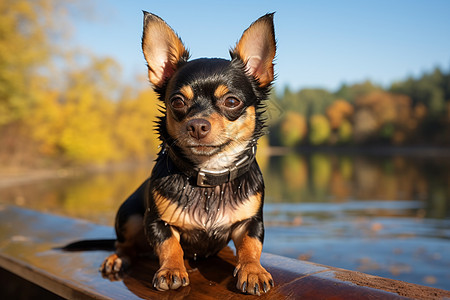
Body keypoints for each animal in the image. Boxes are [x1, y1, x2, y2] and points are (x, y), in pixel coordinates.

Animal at [100, 11, 276, 296]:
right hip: (129, 217)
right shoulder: (157, 223)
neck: (210, 174)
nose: (197, 125)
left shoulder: (250, 223)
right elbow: (170, 245)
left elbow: (251, 246)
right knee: (124, 246)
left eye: (231, 101)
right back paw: (117, 259)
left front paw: (252, 271)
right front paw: (172, 269)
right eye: (177, 102)